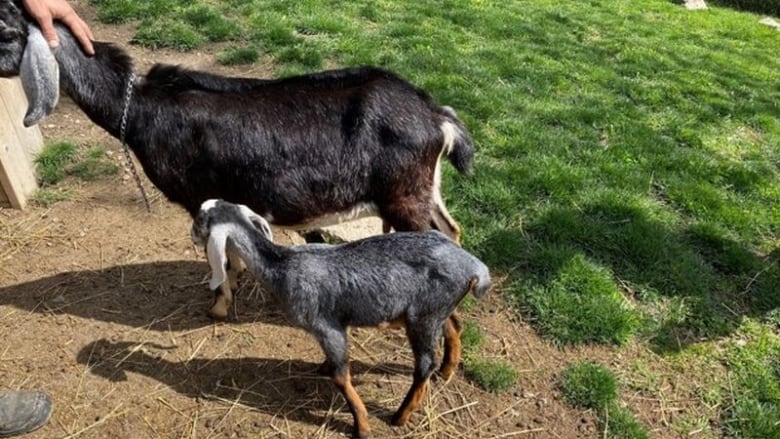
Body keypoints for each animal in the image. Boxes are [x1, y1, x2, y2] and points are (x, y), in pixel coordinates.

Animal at [190, 201, 488, 438]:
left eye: (200, 220)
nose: (191, 235)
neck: (281, 265)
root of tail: (474, 266)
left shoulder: (326, 326)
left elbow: (340, 375)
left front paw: (362, 426)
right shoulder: (334, 327)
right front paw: (322, 367)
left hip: (422, 317)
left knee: (425, 364)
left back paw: (400, 416)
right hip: (437, 308)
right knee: (454, 327)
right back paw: (447, 371)